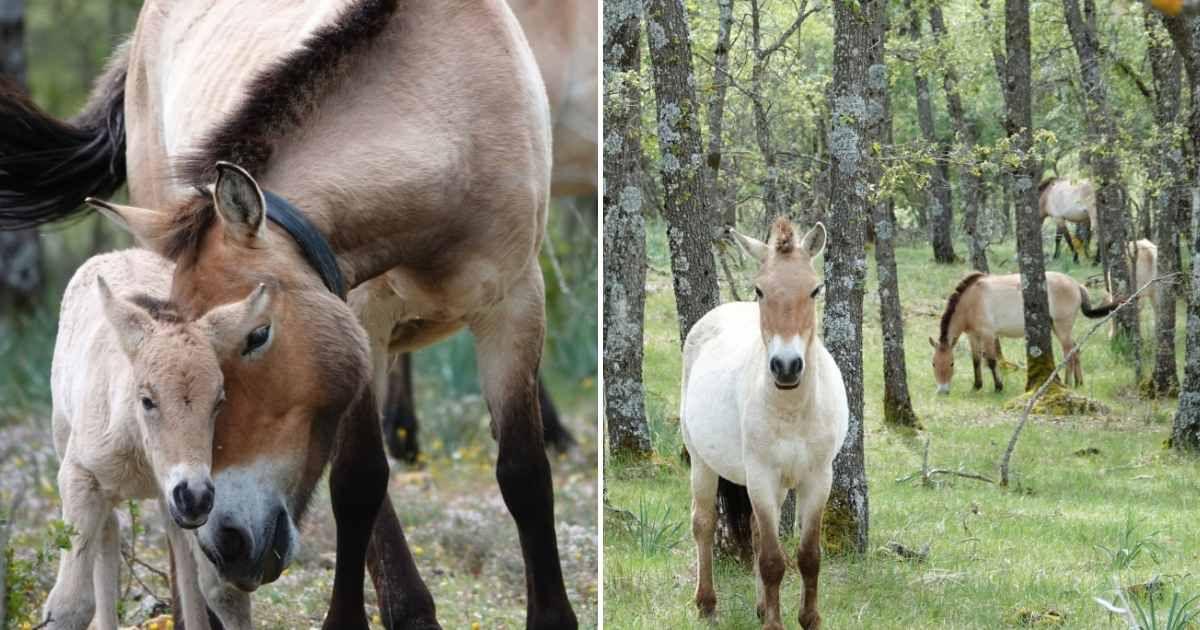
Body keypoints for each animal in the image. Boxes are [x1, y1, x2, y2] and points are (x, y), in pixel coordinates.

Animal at [46, 249, 269, 630]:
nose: (194, 496)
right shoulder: (79, 476)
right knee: (109, 535)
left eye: (219, 401)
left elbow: (224, 592)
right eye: (147, 399)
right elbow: (68, 606)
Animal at [681, 218, 847, 630]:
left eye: (815, 289)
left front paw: (809, 619)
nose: (786, 366)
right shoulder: (761, 475)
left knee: (757, 535)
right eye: (760, 290)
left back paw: (758, 606)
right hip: (702, 462)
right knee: (703, 523)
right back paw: (706, 603)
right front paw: (775, 624)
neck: (791, 410)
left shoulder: (817, 478)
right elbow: (773, 561)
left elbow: (808, 556)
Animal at [930, 271, 1115, 394]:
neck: (972, 300)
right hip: (1058, 328)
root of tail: (1076, 284)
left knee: (1068, 352)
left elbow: (991, 361)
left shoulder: (988, 335)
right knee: (1076, 349)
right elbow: (976, 361)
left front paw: (998, 387)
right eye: (933, 364)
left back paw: (1068, 383)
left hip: (1062, 327)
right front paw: (977, 386)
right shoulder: (973, 336)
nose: (942, 390)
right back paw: (1079, 383)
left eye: (951, 363)